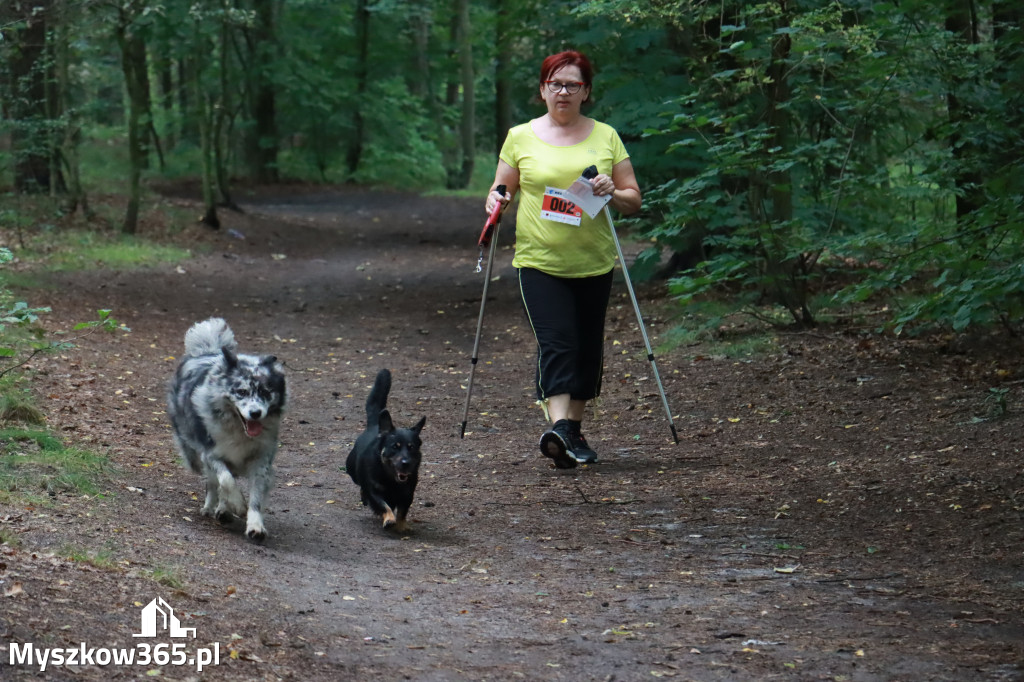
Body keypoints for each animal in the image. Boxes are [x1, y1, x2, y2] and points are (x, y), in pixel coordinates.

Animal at [344, 366, 423, 532]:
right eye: (395, 446)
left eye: (411, 448)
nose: (405, 463)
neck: (391, 479)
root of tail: (375, 425)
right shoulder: (374, 491)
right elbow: (383, 505)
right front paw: (389, 519)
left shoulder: (408, 494)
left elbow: (403, 511)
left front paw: (401, 524)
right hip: (352, 471)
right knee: (361, 486)